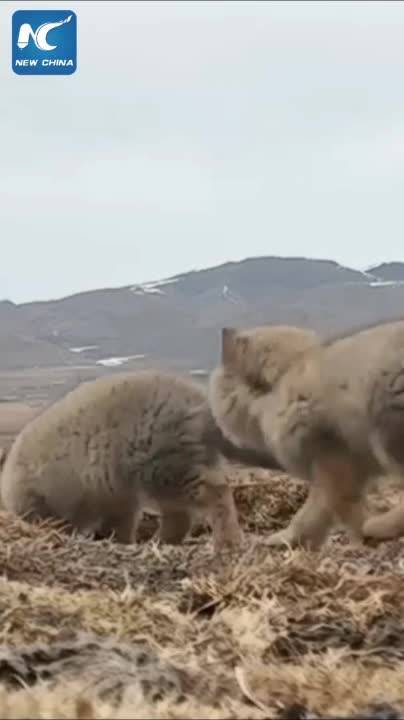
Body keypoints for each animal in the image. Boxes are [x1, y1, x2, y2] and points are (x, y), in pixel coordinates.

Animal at [0, 369, 273, 552]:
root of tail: (202, 405)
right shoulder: (116, 496)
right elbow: (120, 524)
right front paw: (118, 541)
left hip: (162, 465)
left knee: (213, 493)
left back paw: (227, 541)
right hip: (174, 465)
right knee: (181, 514)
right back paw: (160, 543)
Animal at [208, 320, 404, 550]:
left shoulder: (332, 460)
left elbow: (326, 508)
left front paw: (358, 537)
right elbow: (328, 510)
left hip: (386, 430)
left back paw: (380, 526)